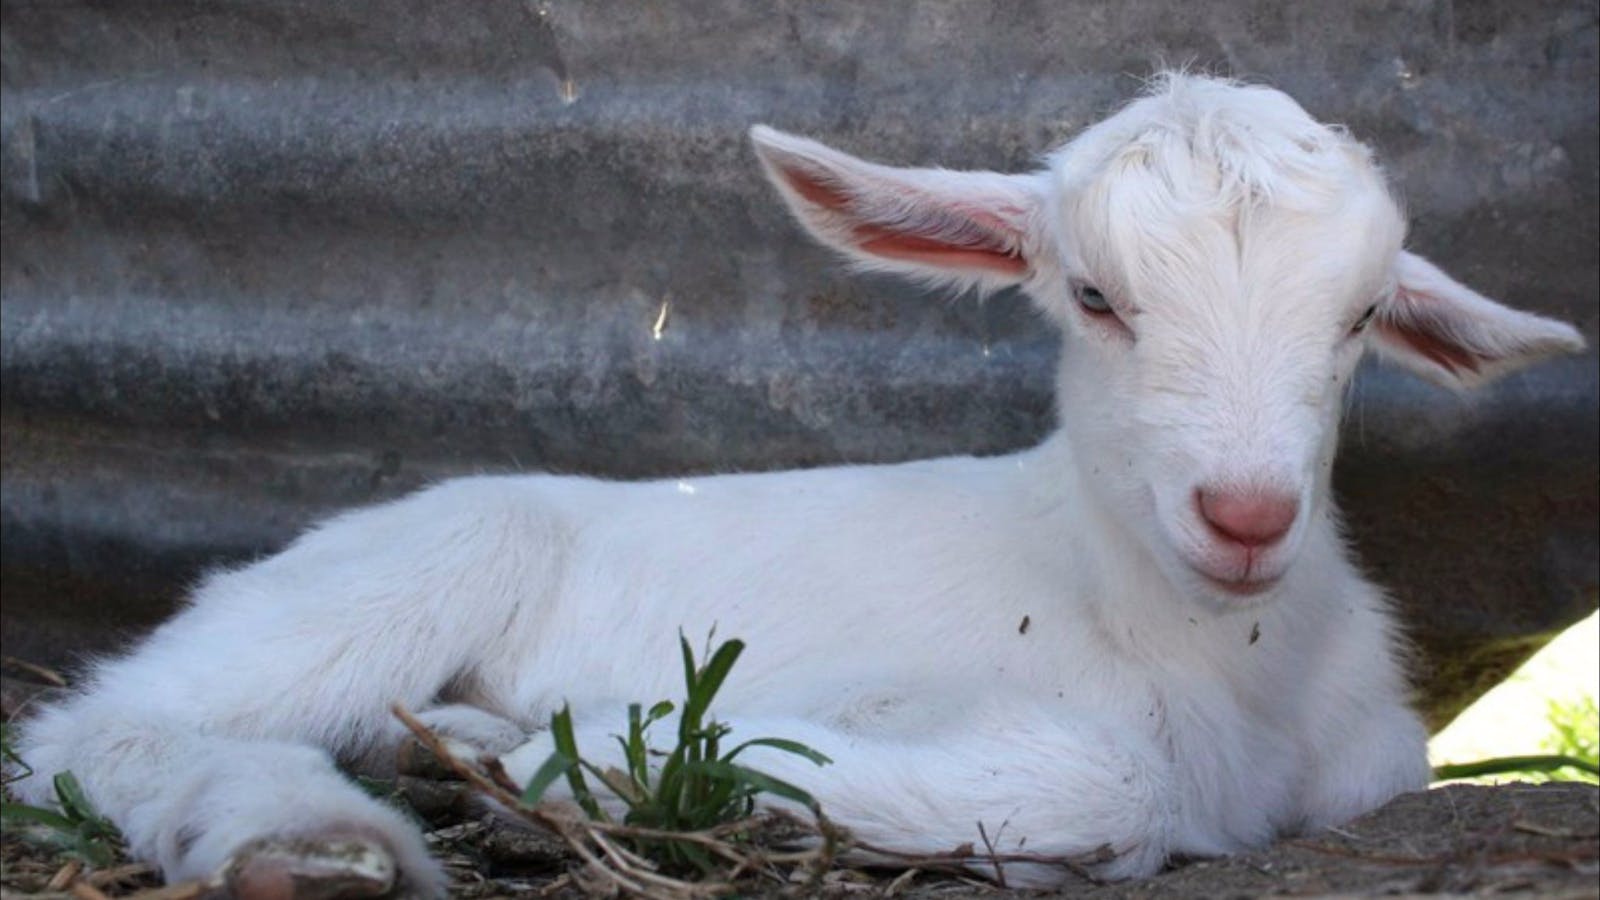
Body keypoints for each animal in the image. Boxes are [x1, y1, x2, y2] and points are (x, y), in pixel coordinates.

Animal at [11, 73, 1585, 897]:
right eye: (1094, 296)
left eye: (1363, 316)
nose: (1247, 517)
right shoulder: (923, 703)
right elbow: (1108, 782)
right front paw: (603, 757)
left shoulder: (1376, 757)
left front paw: (534, 755)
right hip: (423, 557)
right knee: (101, 731)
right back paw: (316, 838)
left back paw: (431, 754)